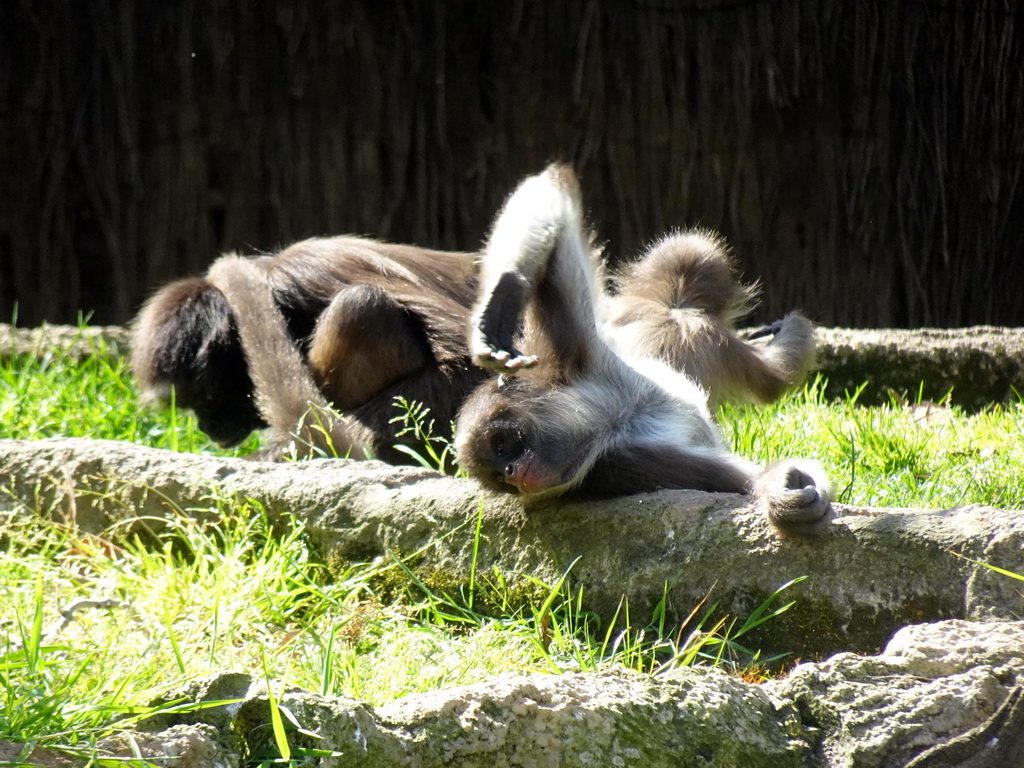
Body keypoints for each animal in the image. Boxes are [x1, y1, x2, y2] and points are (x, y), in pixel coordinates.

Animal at [456, 163, 831, 536]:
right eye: (499, 479)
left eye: (501, 444)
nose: (511, 474)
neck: (615, 417)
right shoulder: (617, 463)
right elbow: (749, 479)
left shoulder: (581, 358)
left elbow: (554, 188)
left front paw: (501, 299)